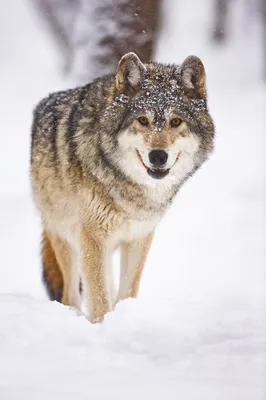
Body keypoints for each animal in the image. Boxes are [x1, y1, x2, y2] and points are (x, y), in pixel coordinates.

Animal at [30, 52, 214, 322]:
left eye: (176, 121)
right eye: (143, 120)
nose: (158, 156)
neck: (132, 191)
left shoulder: (139, 237)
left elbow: (127, 291)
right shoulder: (92, 239)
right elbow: (99, 301)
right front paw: (103, 327)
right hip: (66, 238)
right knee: (70, 295)